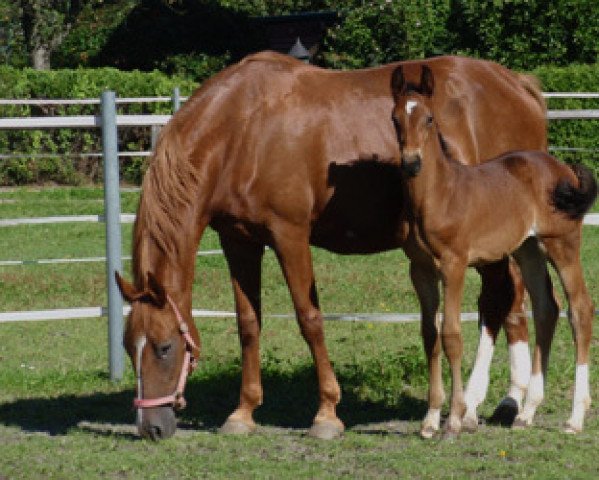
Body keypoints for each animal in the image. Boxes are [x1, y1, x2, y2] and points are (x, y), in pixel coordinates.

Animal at [113, 51, 552, 438]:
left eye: (164, 347)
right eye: (127, 346)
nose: (152, 428)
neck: (242, 129)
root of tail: (518, 85)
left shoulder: (289, 235)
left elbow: (309, 319)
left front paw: (326, 414)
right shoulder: (238, 241)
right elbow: (248, 323)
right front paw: (243, 412)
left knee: (500, 301)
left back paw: (486, 406)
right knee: (508, 303)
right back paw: (505, 402)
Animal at [390, 64, 596, 438]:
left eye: (429, 118)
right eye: (395, 118)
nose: (411, 163)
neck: (440, 195)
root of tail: (563, 169)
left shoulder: (454, 265)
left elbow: (451, 334)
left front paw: (455, 420)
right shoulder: (421, 270)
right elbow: (430, 335)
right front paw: (430, 419)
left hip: (562, 244)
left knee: (580, 309)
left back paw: (575, 418)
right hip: (528, 250)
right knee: (547, 308)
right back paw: (526, 412)